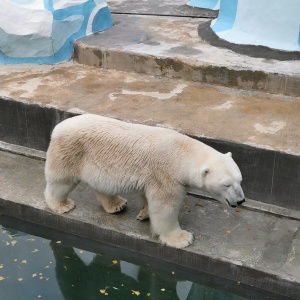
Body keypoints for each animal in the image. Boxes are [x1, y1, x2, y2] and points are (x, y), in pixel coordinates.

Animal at [44, 114, 244, 248]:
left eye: (240, 180)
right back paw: (61, 205)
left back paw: (117, 204)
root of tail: (57, 127)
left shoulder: (152, 176)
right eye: (226, 185)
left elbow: (147, 196)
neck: (181, 152)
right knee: (61, 181)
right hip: (70, 152)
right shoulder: (167, 176)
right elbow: (165, 208)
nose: (241, 200)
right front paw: (182, 238)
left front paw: (143, 213)